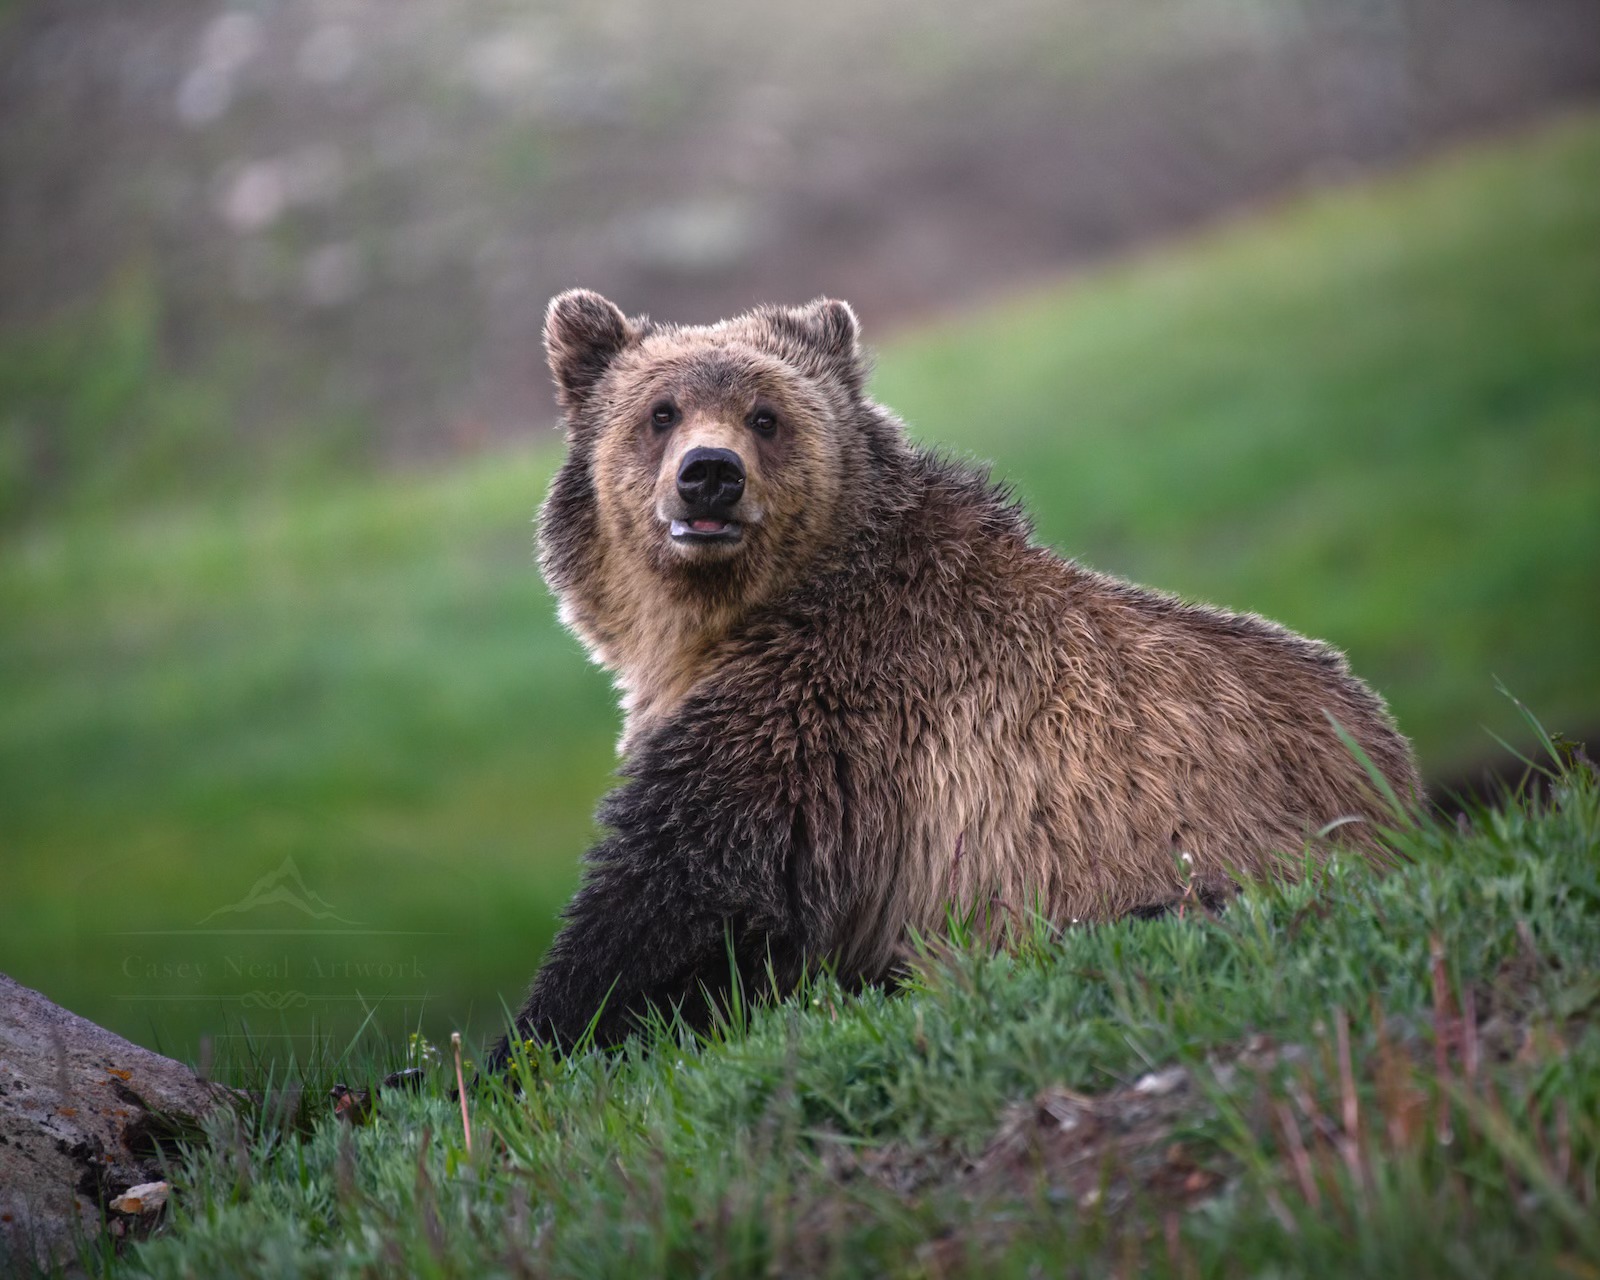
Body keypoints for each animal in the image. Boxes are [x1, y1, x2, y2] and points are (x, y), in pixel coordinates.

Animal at [488, 288, 1420, 1065]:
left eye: (765, 413)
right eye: (661, 410)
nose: (709, 474)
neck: (733, 618)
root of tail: (1402, 790)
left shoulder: (821, 722)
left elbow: (682, 900)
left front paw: (521, 1047)